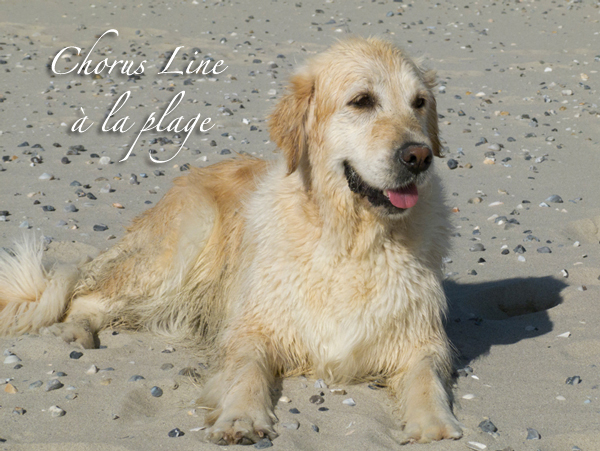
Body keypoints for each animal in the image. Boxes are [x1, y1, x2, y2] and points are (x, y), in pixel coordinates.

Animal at [0, 38, 462, 444]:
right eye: (362, 101)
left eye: (419, 103)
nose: (419, 156)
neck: (351, 240)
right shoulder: (251, 328)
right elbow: (245, 371)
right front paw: (241, 417)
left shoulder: (421, 339)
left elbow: (425, 376)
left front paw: (434, 424)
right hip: (182, 244)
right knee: (85, 297)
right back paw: (75, 333)